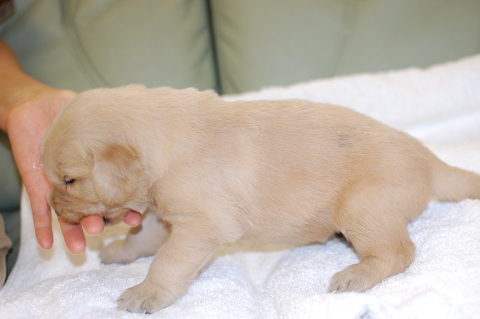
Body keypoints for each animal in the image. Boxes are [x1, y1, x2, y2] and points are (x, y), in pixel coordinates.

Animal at [42, 85, 480, 316]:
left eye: (69, 180)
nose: (55, 211)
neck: (166, 141)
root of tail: (427, 157)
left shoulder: (200, 225)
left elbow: (167, 262)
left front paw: (146, 293)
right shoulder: (160, 211)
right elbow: (143, 239)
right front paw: (119, 252)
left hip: (361, 206)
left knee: (399, 251)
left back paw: (356, 274)